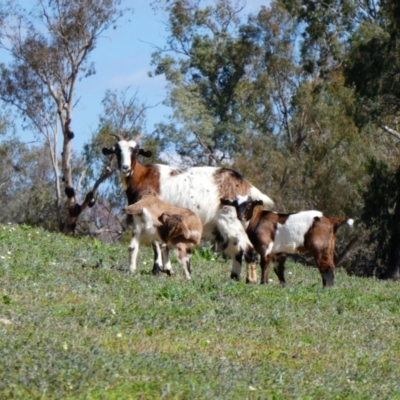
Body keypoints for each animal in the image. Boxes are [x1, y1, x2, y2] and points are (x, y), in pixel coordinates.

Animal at [101, 134, 276, 282]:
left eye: (136, 151)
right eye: (117, 151)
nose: (125, 168)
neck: (143, 177)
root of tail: (244, 184)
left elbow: (157, 244)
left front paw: (160, 269)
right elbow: (161, 243)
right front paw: (165, 269)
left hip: (231, 219)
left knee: (247, 248)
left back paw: (250, 280)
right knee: (236, 249)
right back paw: (235, 276)